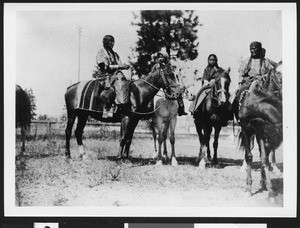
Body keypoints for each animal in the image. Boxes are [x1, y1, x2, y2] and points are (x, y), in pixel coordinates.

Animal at [234, 61, 284, 201]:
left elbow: (264, 158)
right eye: (278, 73)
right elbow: (249, 157)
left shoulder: (262, 131)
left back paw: (264, 183)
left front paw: (271, 191)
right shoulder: (246, 130)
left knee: (263, 156)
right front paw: (248, 189)